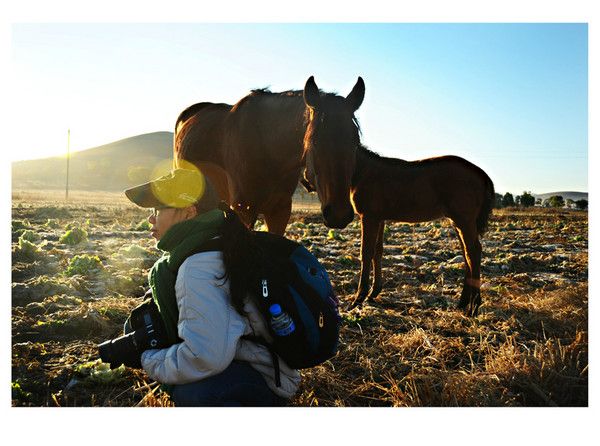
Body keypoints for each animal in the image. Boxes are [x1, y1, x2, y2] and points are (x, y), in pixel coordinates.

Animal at [171, 76, 364, 235]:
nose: (338, 214)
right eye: (313, 141)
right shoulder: (244, 210)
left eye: (355, 141)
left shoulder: (280, 210)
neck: (269, 152)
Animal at [346, 145, 492, 316]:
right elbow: (378, 251)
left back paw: (473, 307)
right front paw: (373, 293)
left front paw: (357, 300)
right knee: (467, 253)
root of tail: (481, 174)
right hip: (458, 222)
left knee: (473, 252)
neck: (364, 170)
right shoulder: (379, 219)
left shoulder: (369, 217)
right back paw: (462, 303)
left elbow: (366, 252)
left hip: (464, 220)